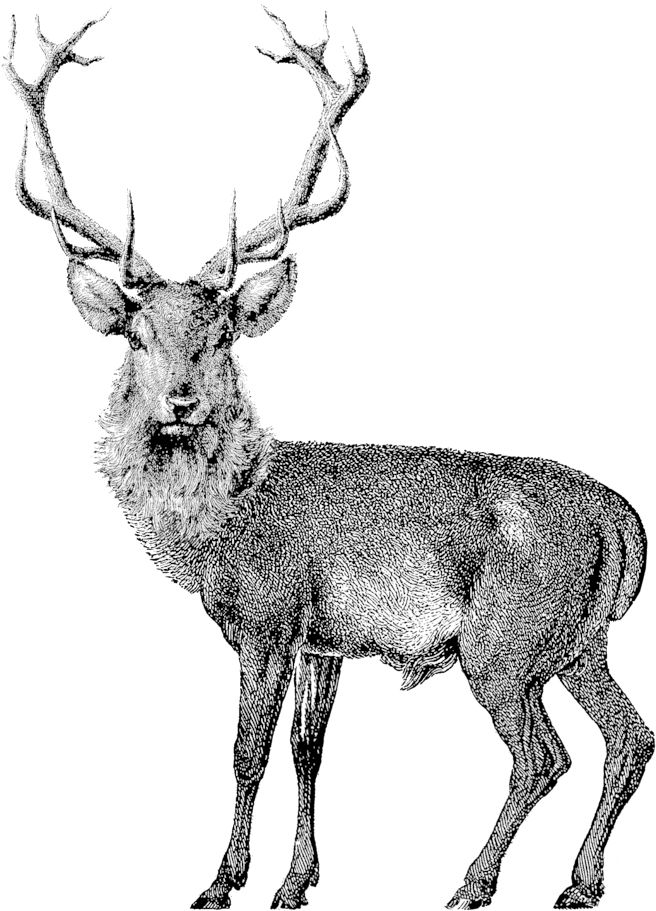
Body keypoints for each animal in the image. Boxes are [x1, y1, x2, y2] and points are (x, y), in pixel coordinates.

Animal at [3, 5, 652, 910]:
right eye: (136, 334)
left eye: (222, 332)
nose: (180, 401)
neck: (224, 525)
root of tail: (620, 519)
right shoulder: (323, 640)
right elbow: (310, 750)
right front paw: (296, 882)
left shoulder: (266, 615)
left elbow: (248, 750)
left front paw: (222, 882)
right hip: (582, 640)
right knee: (630, 736)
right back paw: (581, 884)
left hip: (507, 638)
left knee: (542, 756)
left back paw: (470, 883)